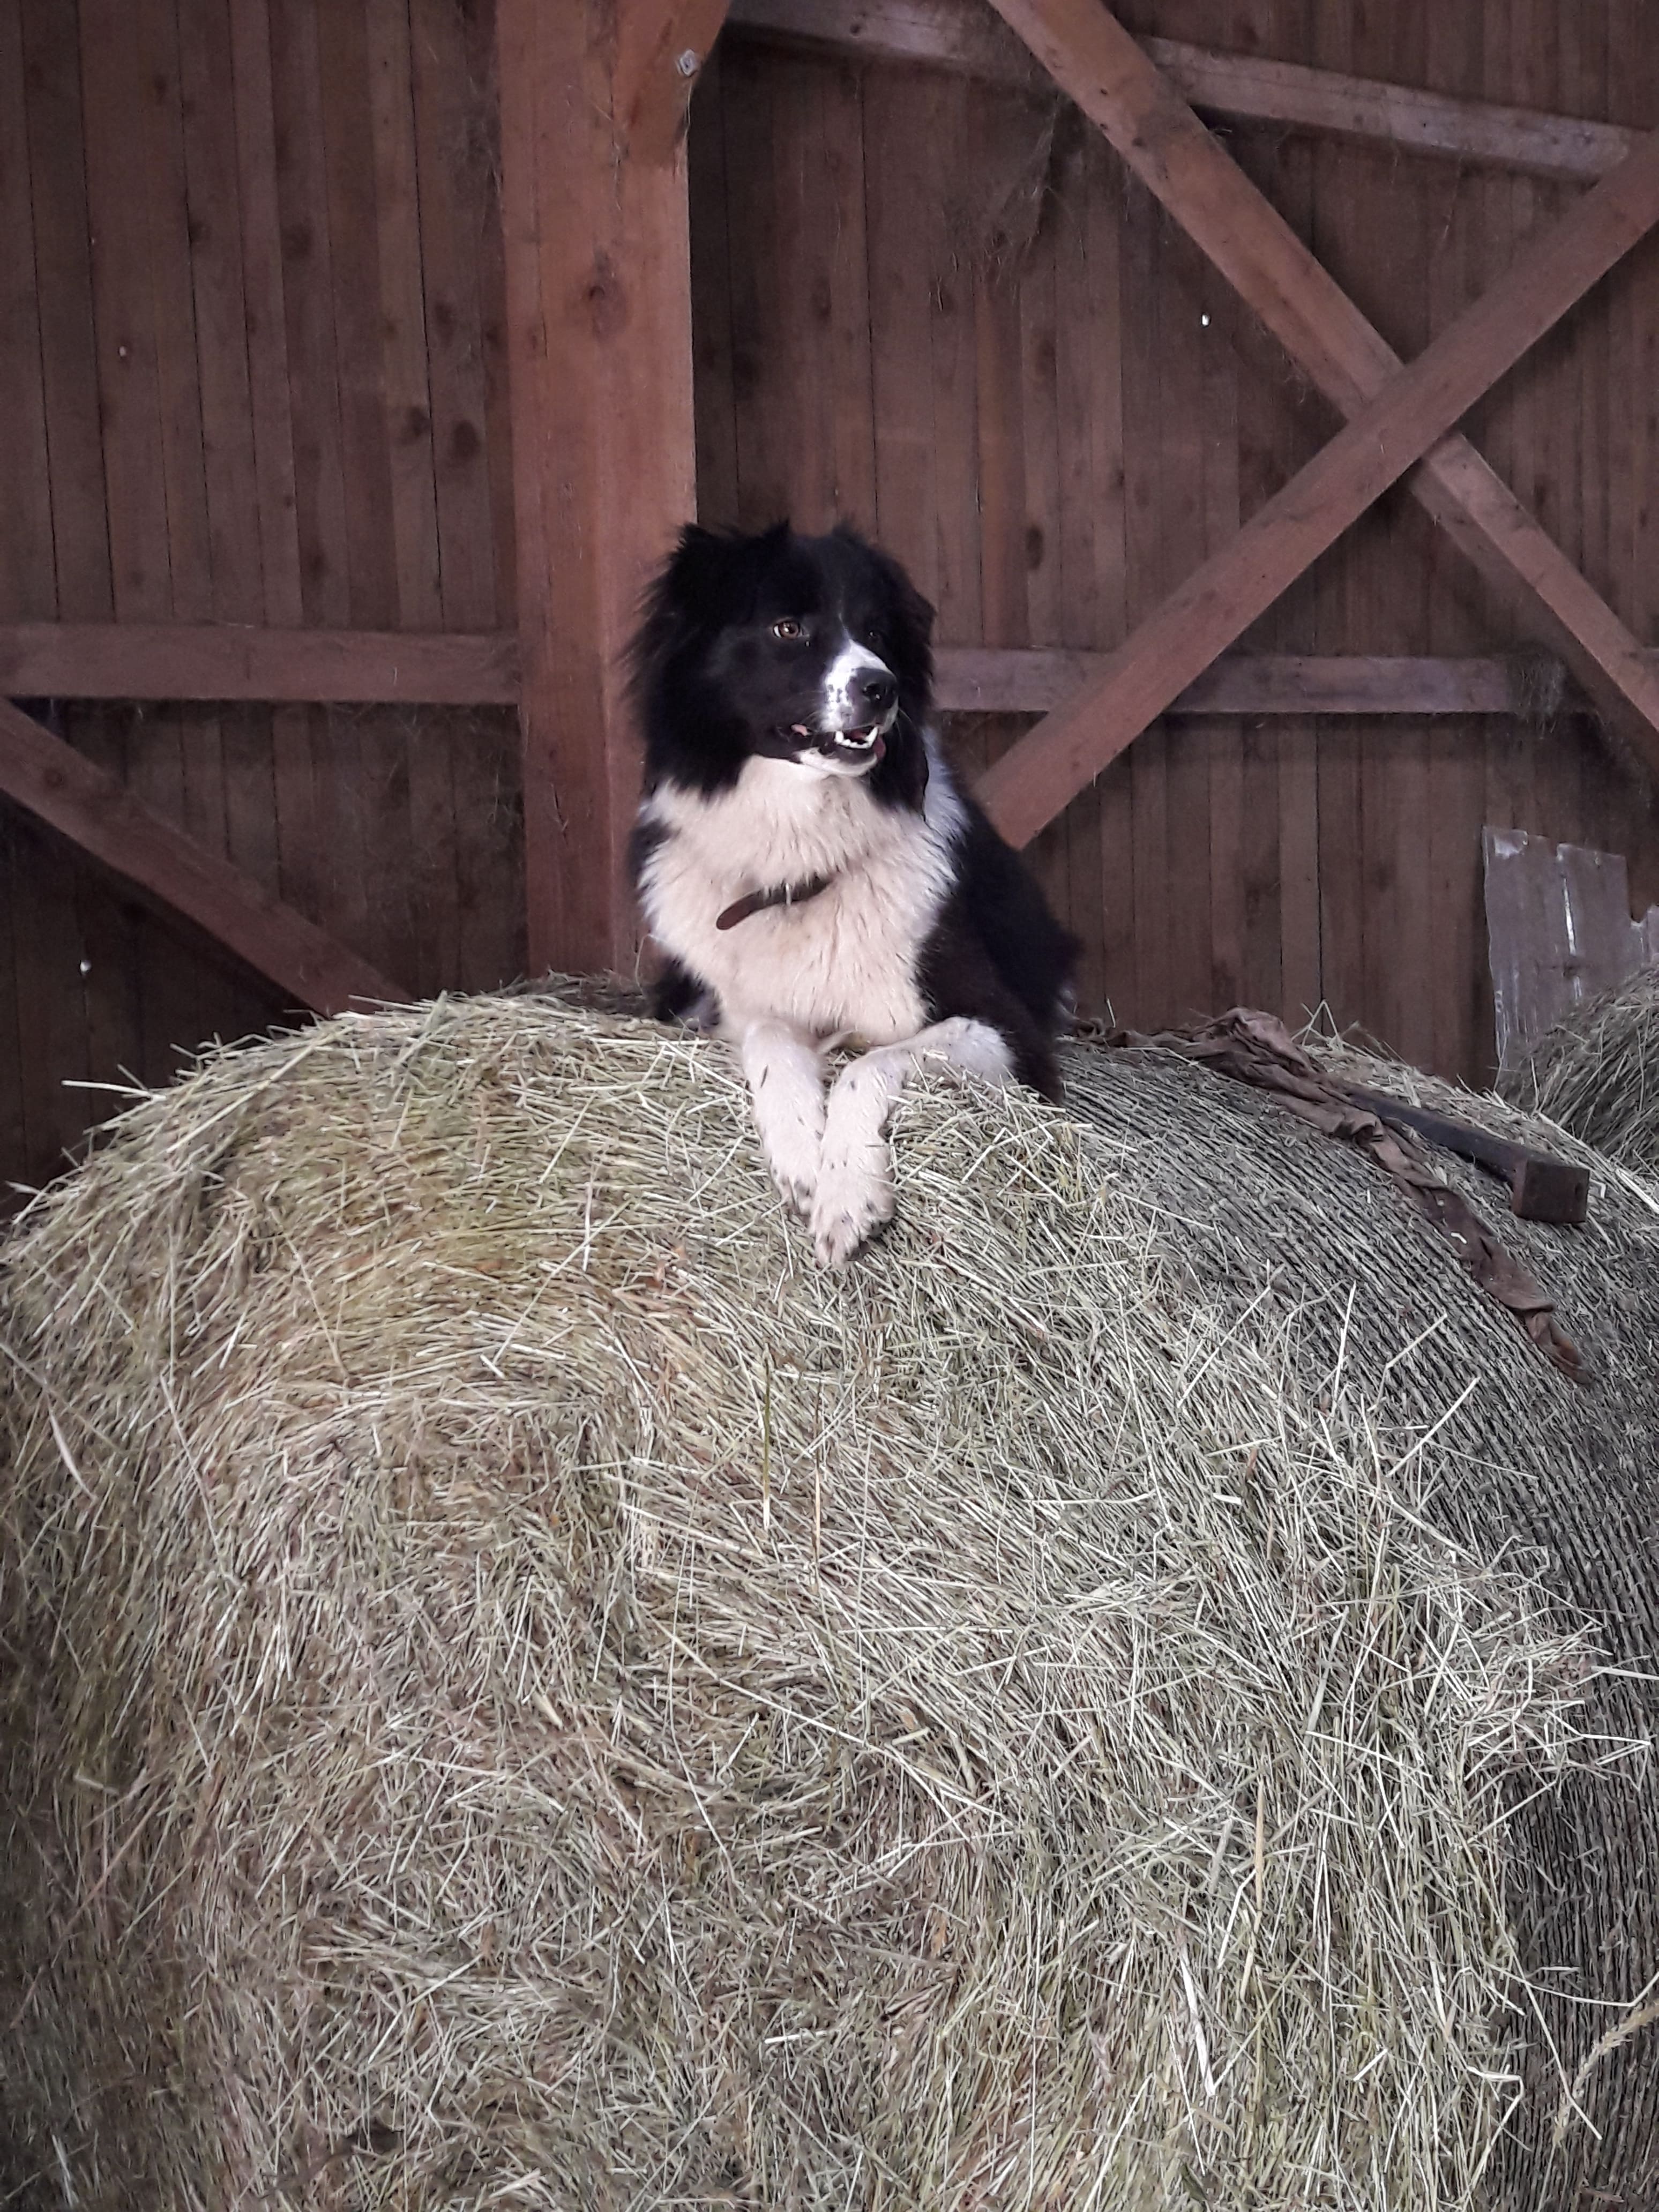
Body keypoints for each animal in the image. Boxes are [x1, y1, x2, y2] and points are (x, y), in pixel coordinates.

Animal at [632, 520, 1079, 1274]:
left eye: (875, 631)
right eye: (788, 628)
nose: (882, 686)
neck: (800, 864)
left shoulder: (1009, 1031)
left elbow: (870, 1063)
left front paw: (846, 1195)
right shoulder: (740, 1007)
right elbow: (771, 1040)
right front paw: (800, 1158)